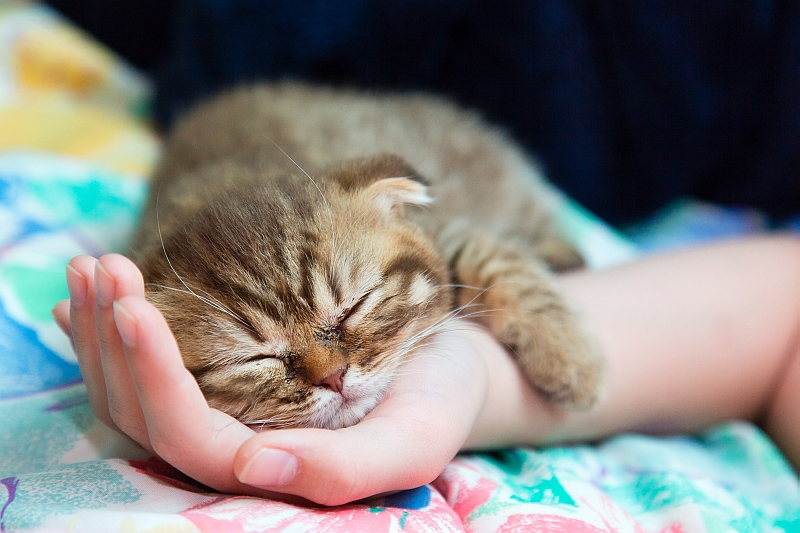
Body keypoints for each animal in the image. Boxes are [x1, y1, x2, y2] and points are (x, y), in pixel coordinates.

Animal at [131, 84, 604, 432]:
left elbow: (500, 264)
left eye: (353, 309)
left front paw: (570, 358)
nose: (333, 377)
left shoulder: (446, 228)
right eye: (256, 359)